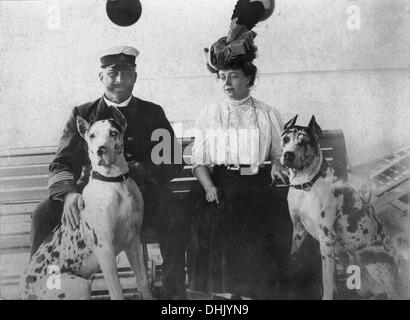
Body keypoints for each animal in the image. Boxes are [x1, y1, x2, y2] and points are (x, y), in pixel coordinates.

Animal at [278, 115, 400, 300]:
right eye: (285, 139)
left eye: (304, 142)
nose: (288, 155)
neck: (306, 184)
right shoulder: (298, 229)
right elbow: (296, 254)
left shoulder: (327, 238)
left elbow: (327, 280)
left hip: (368, 258)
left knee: (392, 292)